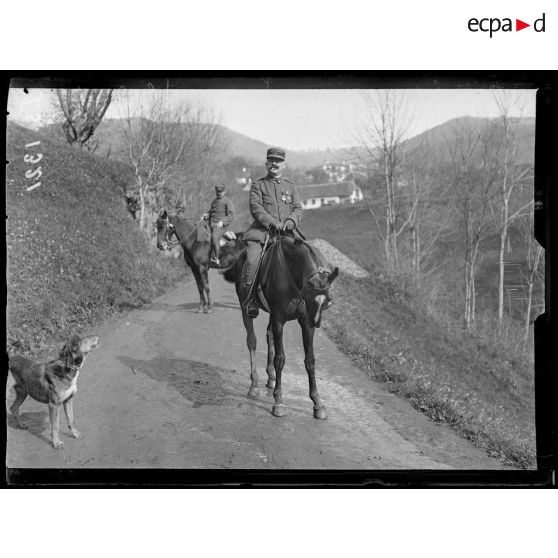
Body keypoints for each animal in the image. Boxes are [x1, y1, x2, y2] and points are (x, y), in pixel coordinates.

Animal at [224, 231, 342, 420]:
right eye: (310, 298)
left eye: (326, 301)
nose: (316, 323)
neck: (293, 274)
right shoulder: (279, 318)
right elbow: (280, 358)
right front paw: (278, 402)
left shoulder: (304, 322)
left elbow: (310, 360)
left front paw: (317, 403)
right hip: (245, 308)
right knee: (252, 341)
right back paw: (254, 384)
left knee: (269, 335)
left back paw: (271, 377)